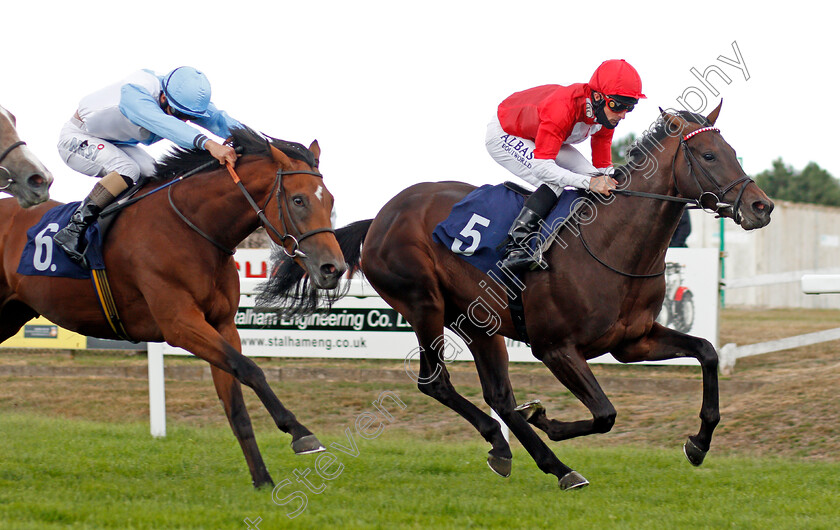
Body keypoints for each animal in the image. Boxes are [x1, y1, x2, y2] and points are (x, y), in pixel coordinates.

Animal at [0, 126, 346, 484]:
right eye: (298, 200)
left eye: (331, 200)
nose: (333, 268)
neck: (192, 228)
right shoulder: (180, 324)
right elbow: (251, 369)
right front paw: (300, 432)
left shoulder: (222, 325)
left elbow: (236, 401)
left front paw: (262, 480)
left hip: (11, 314)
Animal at [262, 104, 776, 490]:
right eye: (708, 155)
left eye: (731, 151)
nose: (762, 206)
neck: (611, 244)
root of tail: (381, 218)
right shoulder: (556, 347)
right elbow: (605, 413)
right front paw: (548, 419)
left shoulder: (633, 342)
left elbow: (707, 352)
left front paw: (699, 442)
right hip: (425, 304)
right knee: (436, 381)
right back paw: (540, 457)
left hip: (479, 323)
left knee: (499, 396)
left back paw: (524, 454)